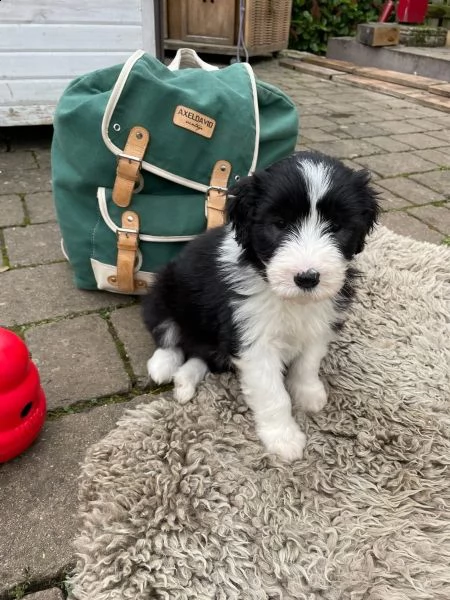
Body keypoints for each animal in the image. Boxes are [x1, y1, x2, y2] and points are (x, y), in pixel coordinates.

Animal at [142, 152, 378, 462]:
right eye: (280, 223)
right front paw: (284, 438)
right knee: (168, 334)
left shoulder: (320, 321)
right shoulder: (253, 339)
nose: (307, 278)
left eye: (337, 227)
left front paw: (308, 394)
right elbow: (273, 394)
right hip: (163, 290)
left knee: (203, 355)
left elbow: (308, 362)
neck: (288, 299)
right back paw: (163, 366)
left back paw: (184, 381)